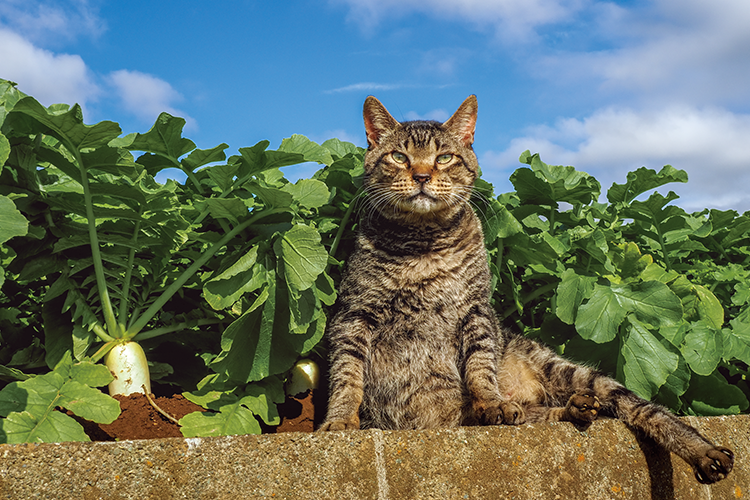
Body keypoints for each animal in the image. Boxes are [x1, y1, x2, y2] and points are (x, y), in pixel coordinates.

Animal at [320, 94, 736, 484]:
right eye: (398, 156)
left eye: (444, 158)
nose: (421, 175)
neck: (422, 244)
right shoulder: (354, 314)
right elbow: (347, 375)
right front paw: (339, 420)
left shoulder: (476, 311)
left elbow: (480, 367)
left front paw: (491, 401)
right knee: (538, 415)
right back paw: (574, 409)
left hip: (579, 374)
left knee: (643, 408)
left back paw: (703, 451)